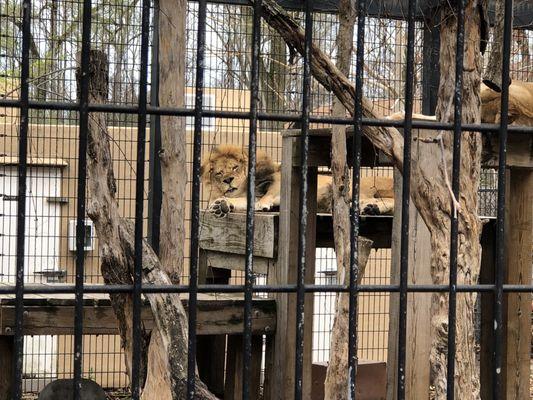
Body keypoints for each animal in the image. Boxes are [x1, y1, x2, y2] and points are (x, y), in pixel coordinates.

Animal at [202, 145, 392, 219]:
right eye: (219, 173)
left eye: (235, 168)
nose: (228, 179)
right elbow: (240, 201)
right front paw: (220, 205)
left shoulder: (279, 181)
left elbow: (266, 196)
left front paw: (263, 205)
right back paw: (369, 208)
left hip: (356, 186)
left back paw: (367, 207)